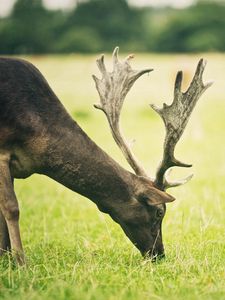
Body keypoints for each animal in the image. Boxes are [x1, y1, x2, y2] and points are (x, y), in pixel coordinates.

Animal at [0, 47, 211, 264]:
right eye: (159, 211)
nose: (159, 254)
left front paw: (6, 259)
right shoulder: (3, 151)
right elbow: (11, 207)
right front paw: (20, 262)